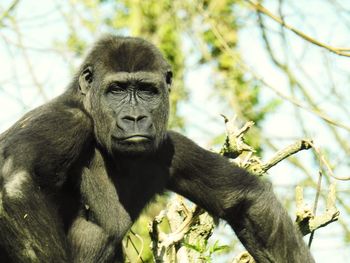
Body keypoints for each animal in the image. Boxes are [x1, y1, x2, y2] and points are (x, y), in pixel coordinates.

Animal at [0, 35, 314, 263]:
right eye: (116, 90)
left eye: (147, 90)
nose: (135, 118)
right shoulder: (67, 120)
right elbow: (14, 183)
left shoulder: (168, 148)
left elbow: (245, 199)